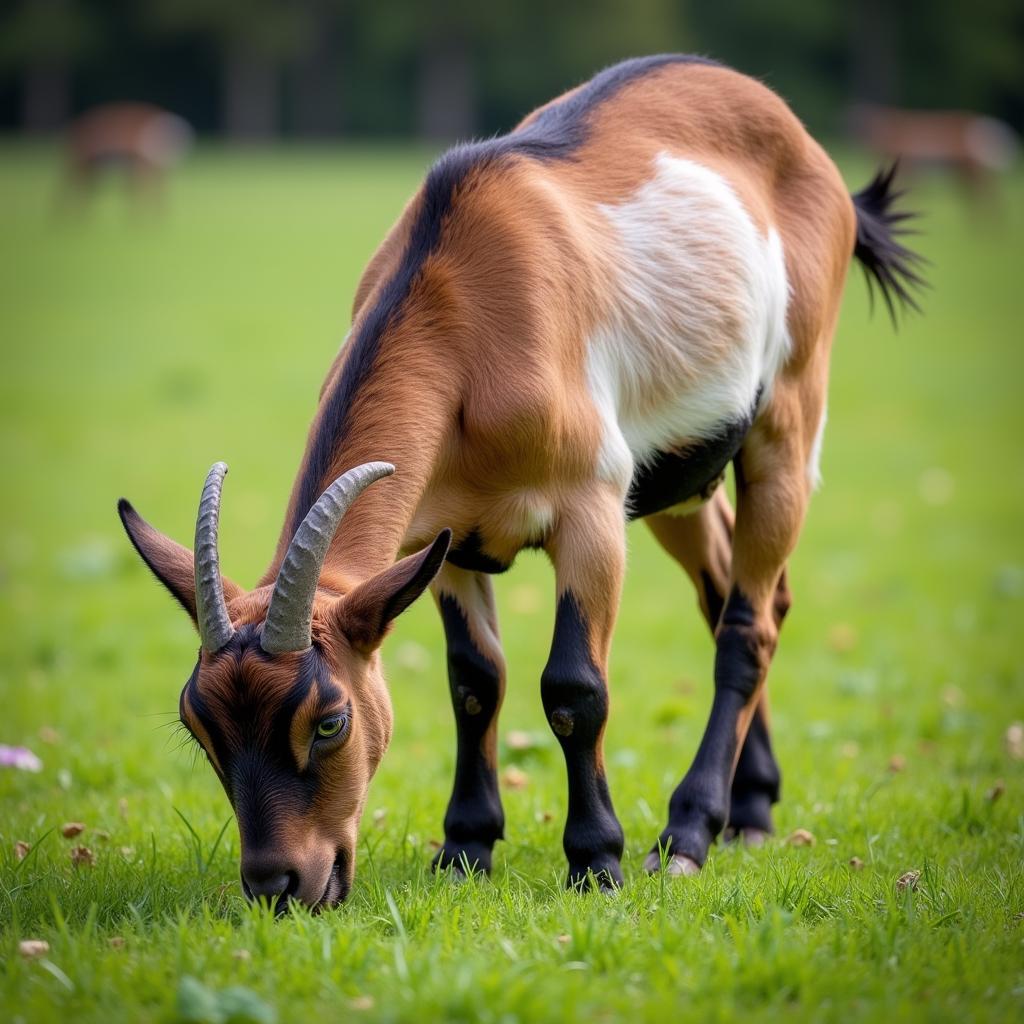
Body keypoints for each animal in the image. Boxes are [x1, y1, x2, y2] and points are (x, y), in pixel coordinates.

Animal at [117, 56, 921, 909]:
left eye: (329, 719)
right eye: (199, 726)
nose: (279, 884)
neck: (465, 307)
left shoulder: (590, 507)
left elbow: (574, 689)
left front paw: (597, 859)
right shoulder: (442, 537)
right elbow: (474, 680)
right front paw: (465, 846)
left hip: (788, 414)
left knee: (749, 624)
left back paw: (690, 833)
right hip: (681, 473)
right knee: (734, 592)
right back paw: (756, 807)